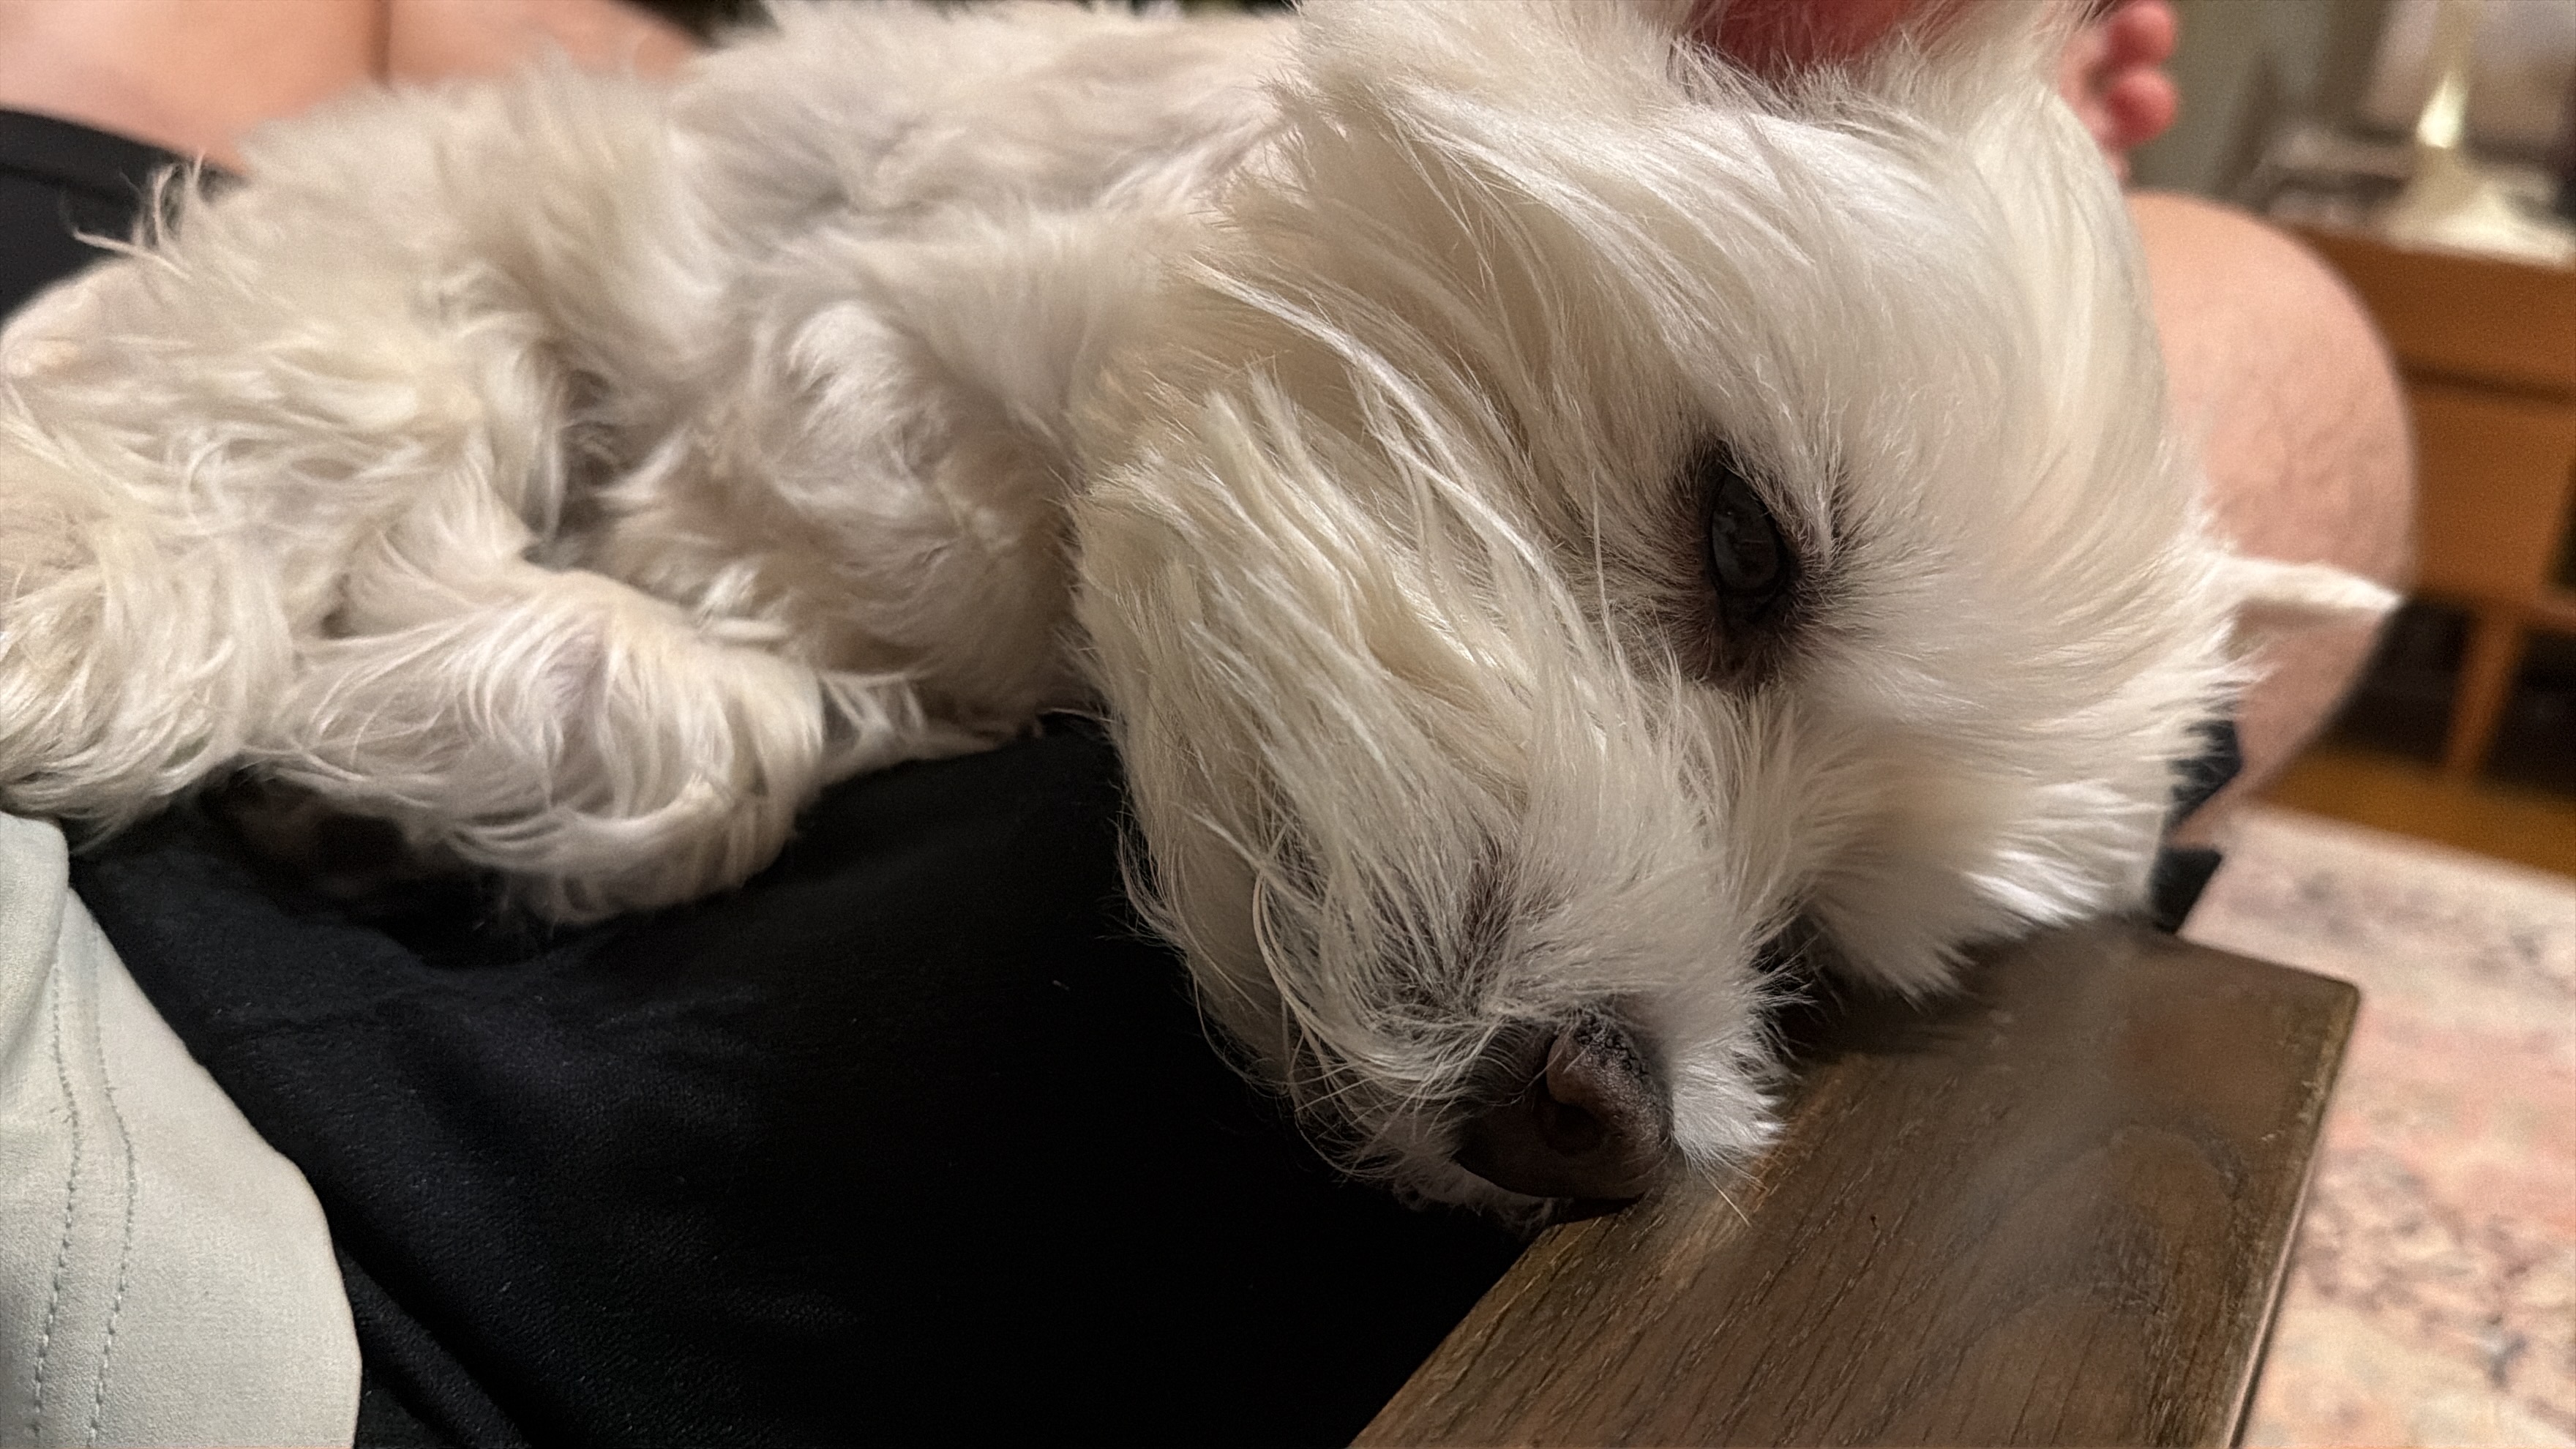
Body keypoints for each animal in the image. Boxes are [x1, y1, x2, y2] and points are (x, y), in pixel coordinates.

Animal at [0, 0, 2388, 1217]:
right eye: (1744, 545)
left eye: (1811, 942)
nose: (1596, 1121)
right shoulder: (510, 175)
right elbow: (359, 367)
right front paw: (77, 575)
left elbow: (713, 711)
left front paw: (400, 773)